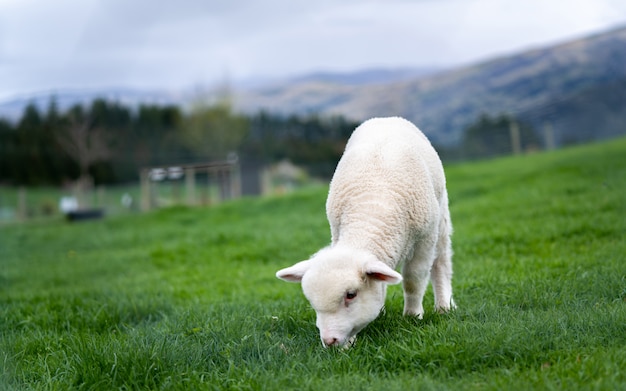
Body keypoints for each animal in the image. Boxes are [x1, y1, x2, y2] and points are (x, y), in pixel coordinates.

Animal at [276, 117, 454, 350]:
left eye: (351, 295)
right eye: (313, 304)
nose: (330, 341)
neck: (370, 210)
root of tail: (386, 118)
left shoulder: (424, 240)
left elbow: (413, 280)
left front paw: (413, 316)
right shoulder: (337, 231)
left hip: (440, 219)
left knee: (441, 262)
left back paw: (444, 306)